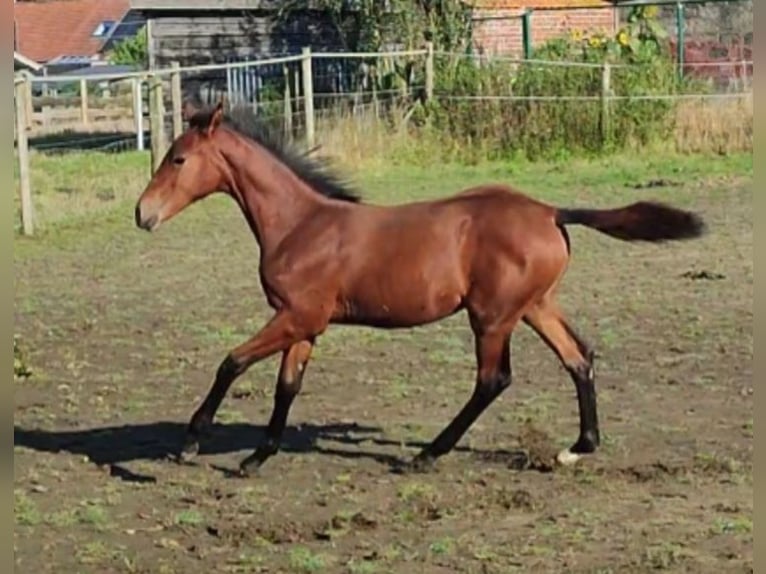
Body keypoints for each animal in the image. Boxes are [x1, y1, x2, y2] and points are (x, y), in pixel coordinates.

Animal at [134, 102, 708, 476]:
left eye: (178, 159)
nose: (142, 214)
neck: (302, 224)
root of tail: (550, 211)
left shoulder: (297, 316)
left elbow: (231, 362)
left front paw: (190, 442)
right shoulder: (305, 324)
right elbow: (286, 387)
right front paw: (256, 457)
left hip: (491, 316)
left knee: (493, 379)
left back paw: (426, 455)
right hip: (535, 307)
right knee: (579, 358)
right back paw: (577, 447)